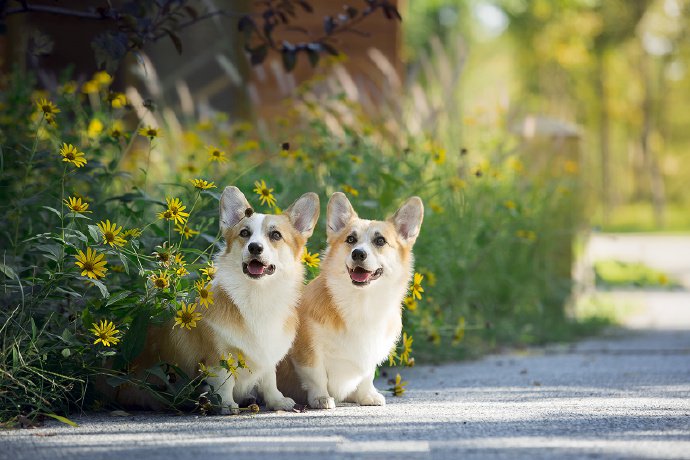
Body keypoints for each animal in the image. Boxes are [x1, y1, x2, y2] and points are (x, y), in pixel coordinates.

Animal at [119, 187, 320, 414]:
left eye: (276, 235)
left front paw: (277, 401)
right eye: (244, 233)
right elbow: (225, 381)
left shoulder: (267, 353)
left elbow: (269, 379)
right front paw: (226, 404)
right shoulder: (218, 356)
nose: (254, 247)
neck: (258, 294)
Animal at [276, 192, 422, 408]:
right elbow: (317, 376)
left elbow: (367, 376)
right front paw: (321, 398)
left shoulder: (370, 352)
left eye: (380, 241)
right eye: (351, 239)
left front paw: (367, 395)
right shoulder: (308, 350)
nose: (358, 253)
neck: (362, 302)